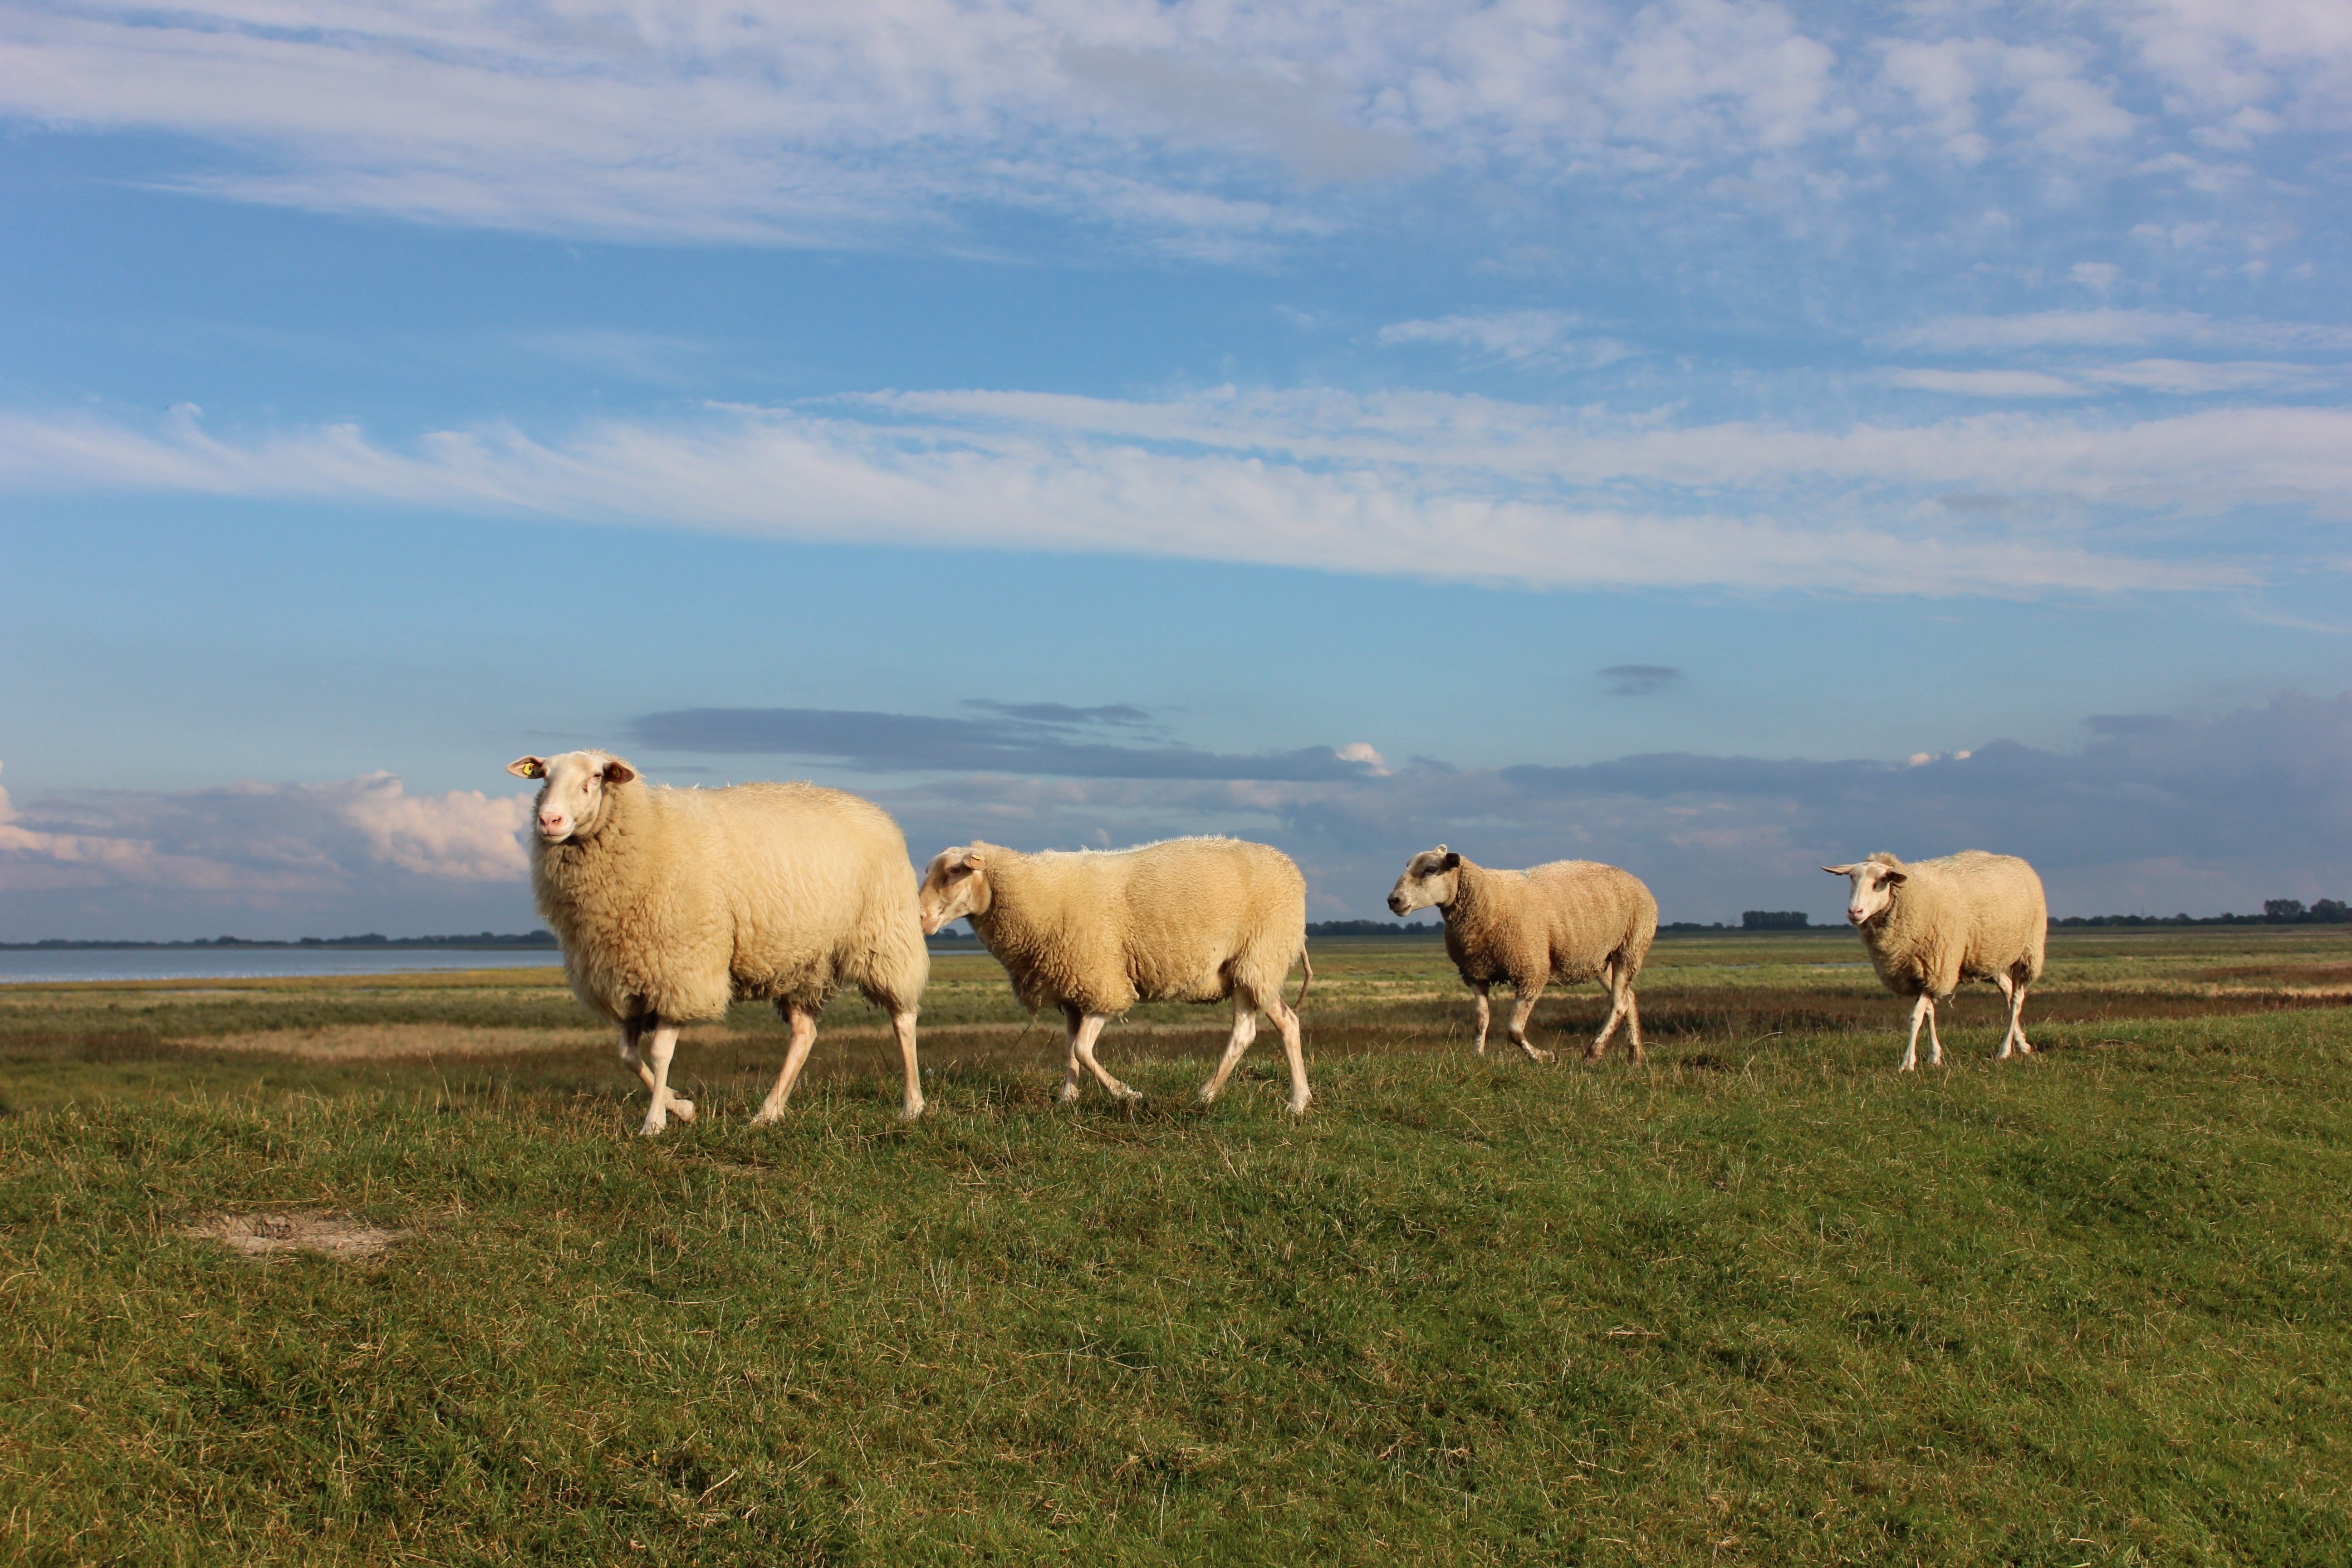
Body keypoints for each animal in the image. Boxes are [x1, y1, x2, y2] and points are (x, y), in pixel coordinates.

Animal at [505, 752, 926, 1133]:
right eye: (543, 776)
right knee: (805, 1034)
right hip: (801, 961)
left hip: (886, 939)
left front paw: (654, 1123)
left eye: (595, 777)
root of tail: (875, 811)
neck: (649, 828)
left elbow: (660, 1053)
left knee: (903, 1020)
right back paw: (768, 1113)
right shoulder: (629, 978)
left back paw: (913, 1105)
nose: (549, 820)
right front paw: (681, 1107)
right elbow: (626, 1055)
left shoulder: (680, 972)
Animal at [912, 841, 1317, 1109]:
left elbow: (1082, 1048)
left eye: (954, 872)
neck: (1036, 894)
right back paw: (1212, 1094)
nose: (919, 918)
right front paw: (1068, 1099)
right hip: (1243, 971)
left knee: (1281, 1024)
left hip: (1260, 959)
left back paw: (1295, 1101)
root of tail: (1291, 869)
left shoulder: (1104, 986)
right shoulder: (1073, 991)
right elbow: (1070, 1049)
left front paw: (1126, 1093)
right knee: (1252, 1031)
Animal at [1383, 846, 1665, 1067]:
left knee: (1619, 1003)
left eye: (1431, 869)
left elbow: (1514, 1031)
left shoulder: (1531, 972)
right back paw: (1636, 1057)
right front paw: (1477, 1057)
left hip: (1631, 947)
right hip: (1600, 960)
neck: (1488, 898)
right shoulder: (1475, 973)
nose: (1393, 900)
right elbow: (1481, 1020)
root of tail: (1637, 880)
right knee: (1629, 998)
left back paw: (1594, 1054)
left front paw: (1545, 1057)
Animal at [1816, 851, 2041, 1072]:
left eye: (1882, 880)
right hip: (1988, 960)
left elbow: (1916, 1017)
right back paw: (2022, 1045)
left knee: (2017, 998)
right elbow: (1929, 1013)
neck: (1915, 894)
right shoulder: (1919, 973)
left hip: (2028, 953)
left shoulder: (1936, 967)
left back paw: (2004, 1050)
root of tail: (2018, 861)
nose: (1855, 912)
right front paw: (1934, 1057)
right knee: (2007, 989)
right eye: (1852, 878)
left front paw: (1907, 1063)